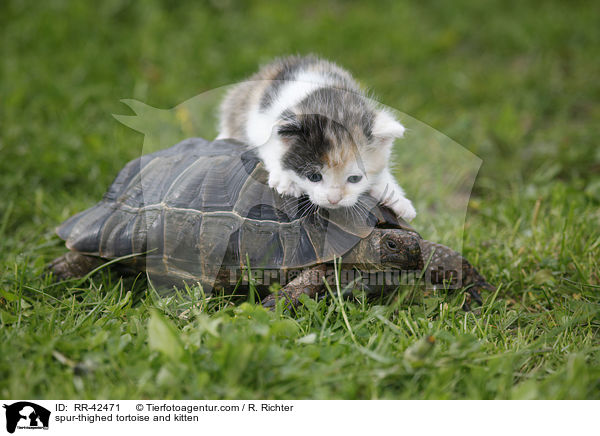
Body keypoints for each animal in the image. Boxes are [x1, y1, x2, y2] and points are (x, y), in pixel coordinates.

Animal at [216, 55, 418, 221]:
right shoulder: (261, 119)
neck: (327, 100)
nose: (334, 200)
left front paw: (396, 196)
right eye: (314, 177)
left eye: (354, 179)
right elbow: (269, 145)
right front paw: (285, 179)